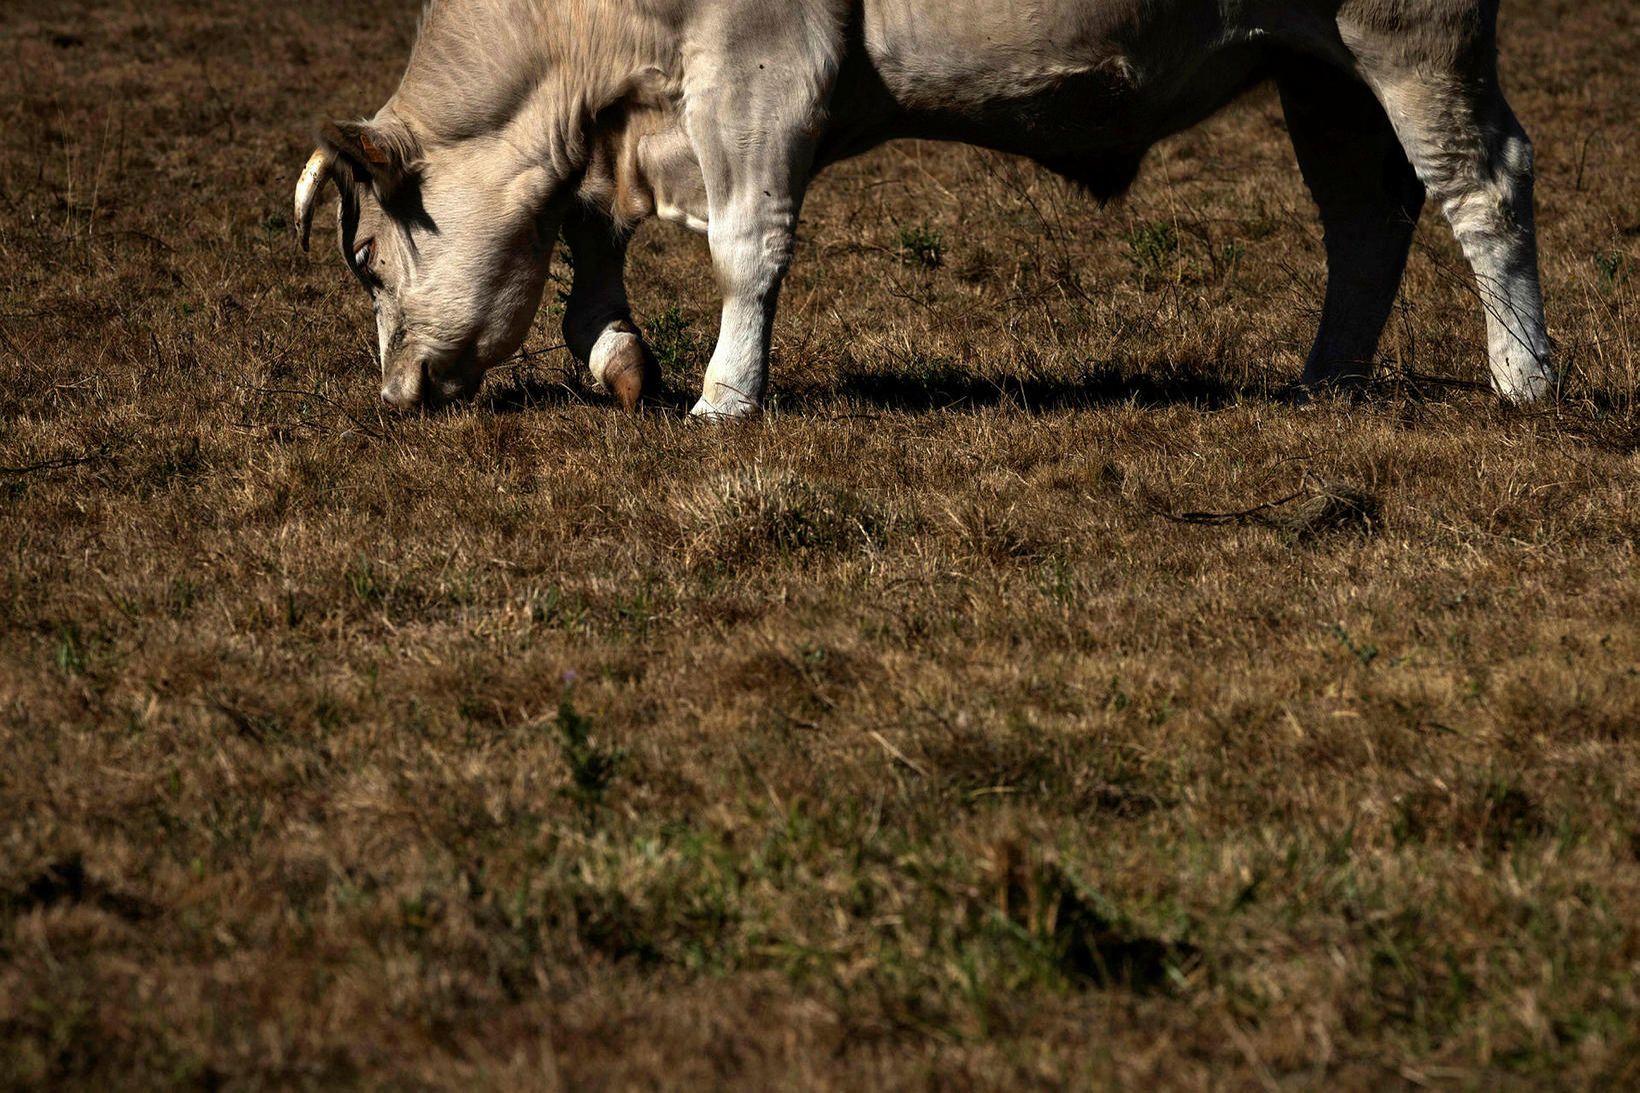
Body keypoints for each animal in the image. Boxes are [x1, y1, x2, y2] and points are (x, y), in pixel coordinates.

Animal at [298, 0, 1561, 416]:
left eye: (363, 257)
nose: (394, 396)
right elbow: (586, 229)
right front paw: (615, 357)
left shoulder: (757, 74)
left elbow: (748, 250)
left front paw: (722, 398)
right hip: (1322, 71)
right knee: (1364, 216)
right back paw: (1325, 381)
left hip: (1414, 38)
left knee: (1481, 182)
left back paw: (1525, 380)